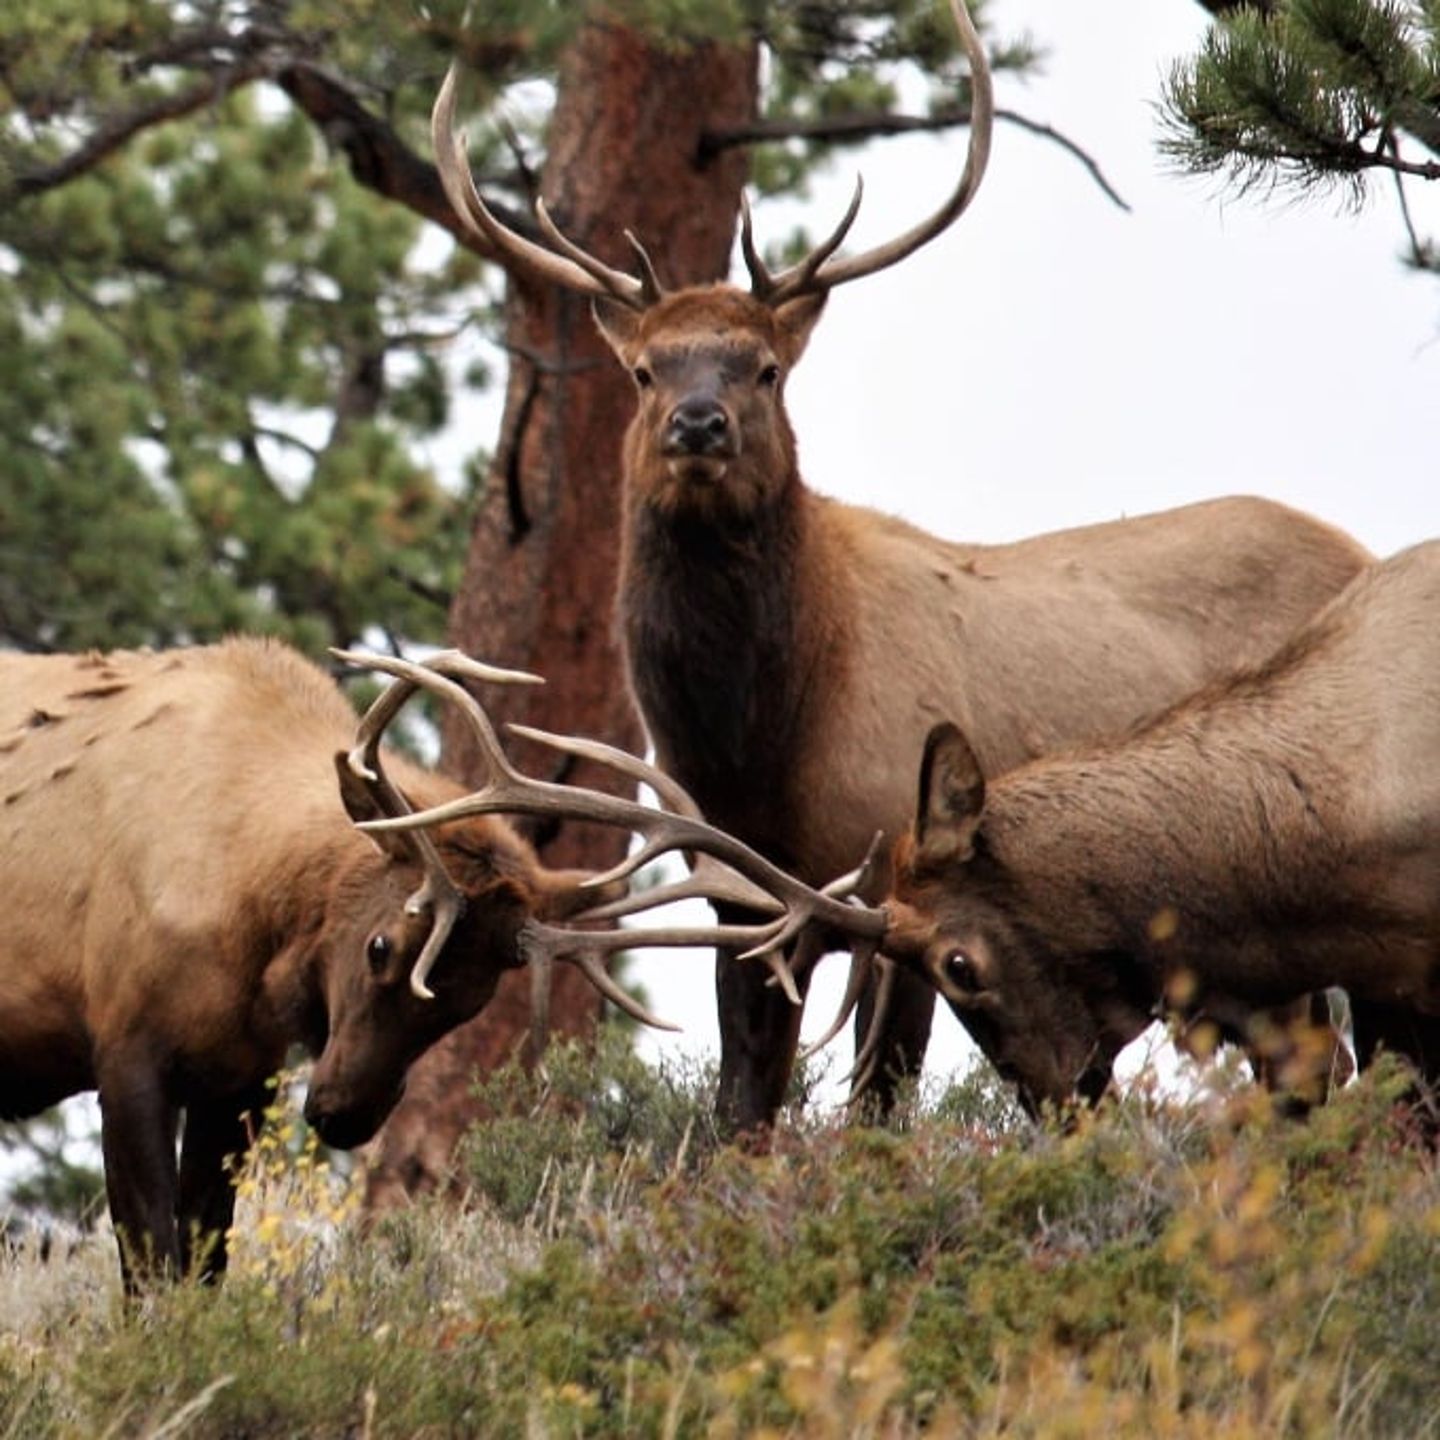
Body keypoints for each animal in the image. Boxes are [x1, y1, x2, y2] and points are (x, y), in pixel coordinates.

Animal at [0, 636, 762, 1291]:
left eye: (475, 998)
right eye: (380, 946)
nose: (346, 1114)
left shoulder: (240, 1076)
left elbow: (203, 1262)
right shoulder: (124, 1045)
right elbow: (151, 1267)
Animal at [430, 0, 1372, 1134]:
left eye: (765, 368)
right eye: (647, 370)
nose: (698, 425)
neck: (758, 744)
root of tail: (1361, 547)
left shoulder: (894, 873)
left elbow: (878, 1100)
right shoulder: (738, 890)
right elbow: (743, 1105)